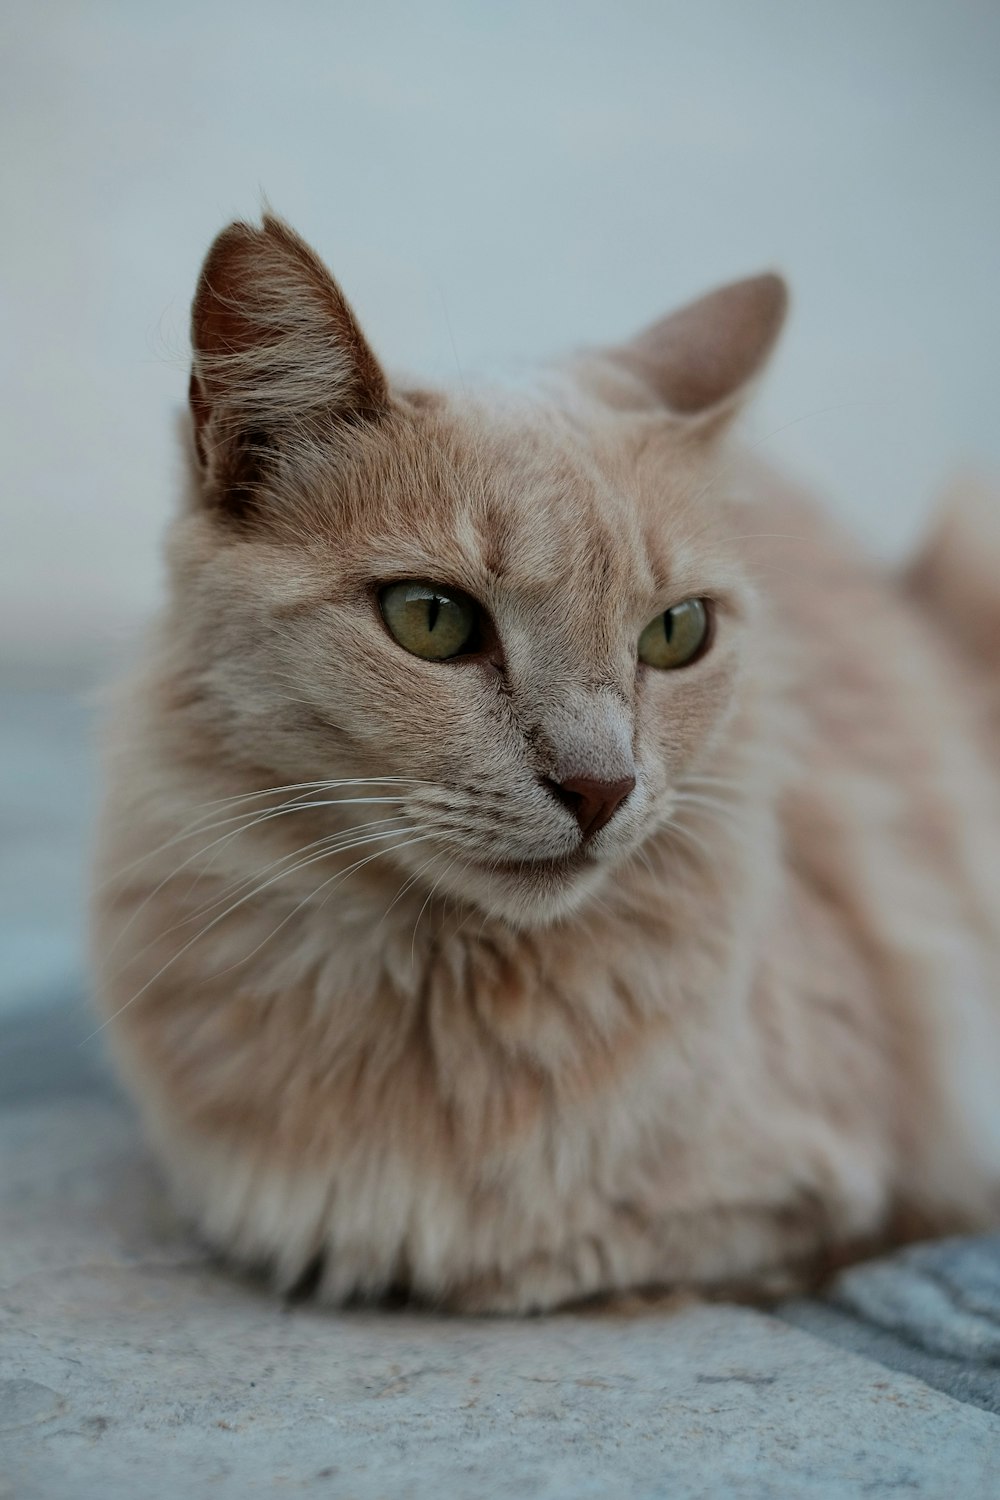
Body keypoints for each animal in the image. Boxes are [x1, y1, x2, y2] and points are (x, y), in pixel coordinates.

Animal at [91, 214, 1000, 1314]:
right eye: (430, 620)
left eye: (676, 633)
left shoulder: (817, 1193)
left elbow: (542, 1261)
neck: (437, 989)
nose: (602, 788)